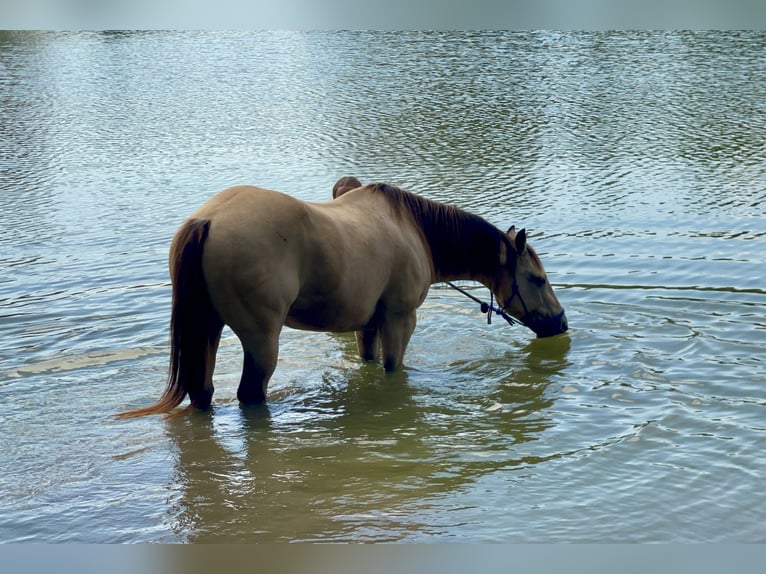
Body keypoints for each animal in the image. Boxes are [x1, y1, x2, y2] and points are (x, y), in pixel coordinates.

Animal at [117, 183, 567, 418]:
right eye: (537, 278)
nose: (560, 323)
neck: (414, 229)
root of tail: (207, 220)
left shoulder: (367, 326)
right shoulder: (400, 320)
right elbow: (394, 367)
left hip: (208, 327)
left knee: (203, 390)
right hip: (261, 339)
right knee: (249, 394)